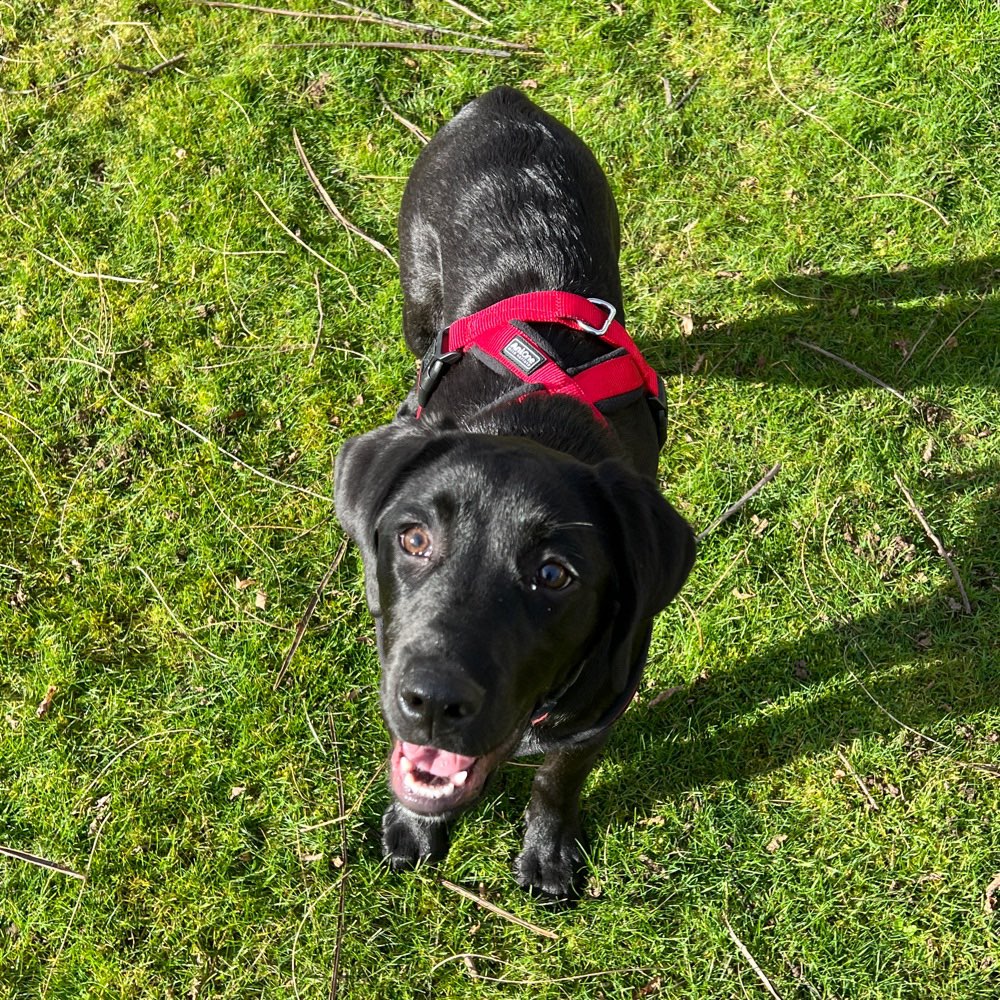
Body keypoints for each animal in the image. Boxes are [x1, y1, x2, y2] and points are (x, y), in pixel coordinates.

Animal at [336, 88, 696, 900]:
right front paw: (415, 829)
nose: (434, 700)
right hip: (417, 292)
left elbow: (555, 785)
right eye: (412, 537)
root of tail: (504, 100)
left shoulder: (599, 715)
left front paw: (547, 854)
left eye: (554, 575)